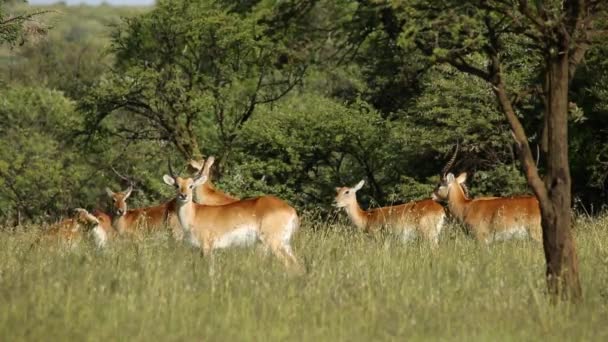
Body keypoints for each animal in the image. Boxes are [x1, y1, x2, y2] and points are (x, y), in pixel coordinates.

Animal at [163, 157, 302, 272]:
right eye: (177, 185)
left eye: (191, 185)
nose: (183, 196)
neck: (195, 214)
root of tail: (291, 210)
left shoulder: (207, 247)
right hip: (285, 244)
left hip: (274, 243)